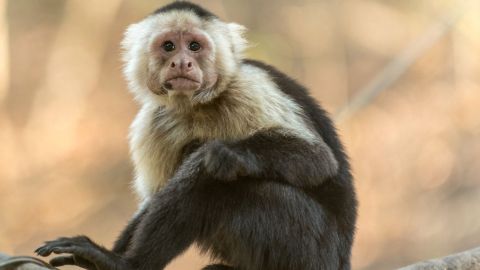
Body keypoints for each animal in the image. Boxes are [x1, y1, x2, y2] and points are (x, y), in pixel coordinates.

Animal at [35, 2, 356, 270]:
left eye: (194, 46)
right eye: (168, 46)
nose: (181, 63)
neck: (196, 106)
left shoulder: (249, 87)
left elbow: (318, 159)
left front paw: (229, 153)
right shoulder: (153, 121)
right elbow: (154, 198)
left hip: (311, 249)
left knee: (212, 177)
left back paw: (126, 264)